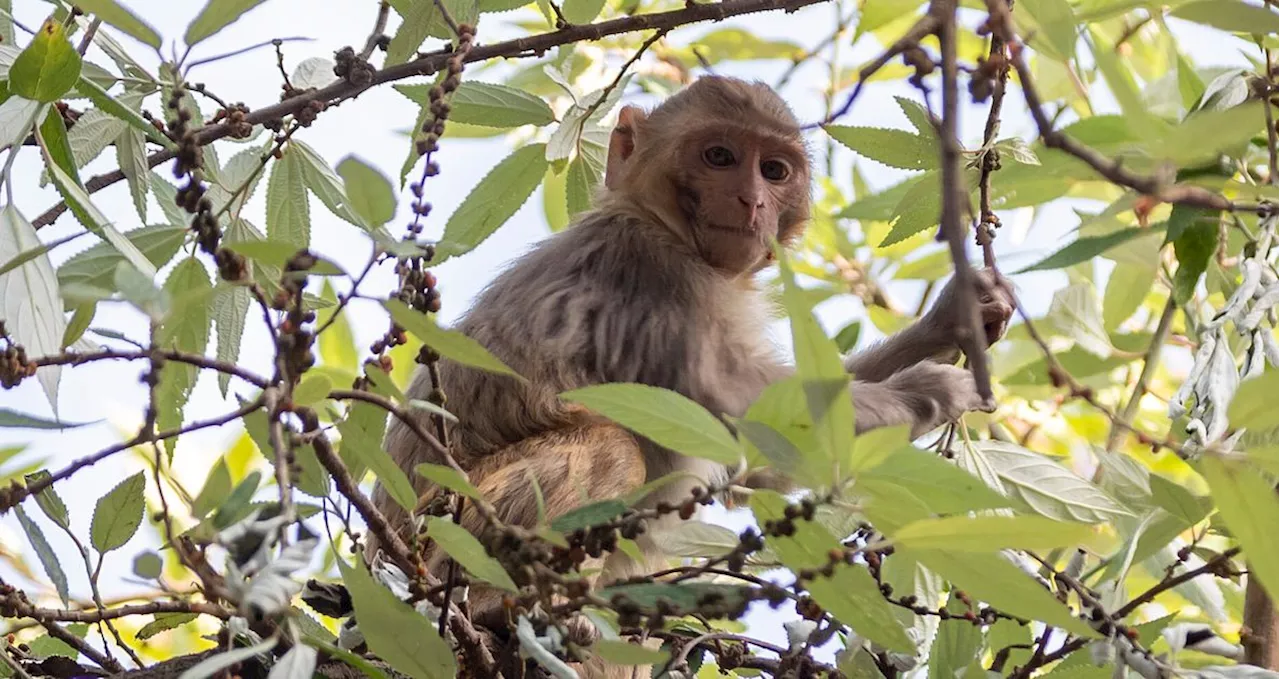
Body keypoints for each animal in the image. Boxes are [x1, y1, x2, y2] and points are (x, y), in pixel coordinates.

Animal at [368, 77, 1008, 671]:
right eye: (719, 157)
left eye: (774, 170)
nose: (751, 200)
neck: (659, 223)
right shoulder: (653, 276)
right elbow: (742, 409)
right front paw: (930, 390)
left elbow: (760, 466)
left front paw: (955, 319)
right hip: (453, 529)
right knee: (612, 447)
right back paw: (496, 611)